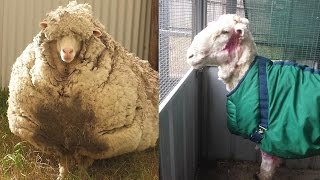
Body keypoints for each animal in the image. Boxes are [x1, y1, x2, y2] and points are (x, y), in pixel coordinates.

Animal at [6, 1, 158, 179]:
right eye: (57, 37)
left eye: (81, 38)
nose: (67, 51)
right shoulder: (56, 138)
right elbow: (63, 161)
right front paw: (62, 176)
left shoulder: (92, 142)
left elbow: (83, 163)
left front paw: (82, 175)